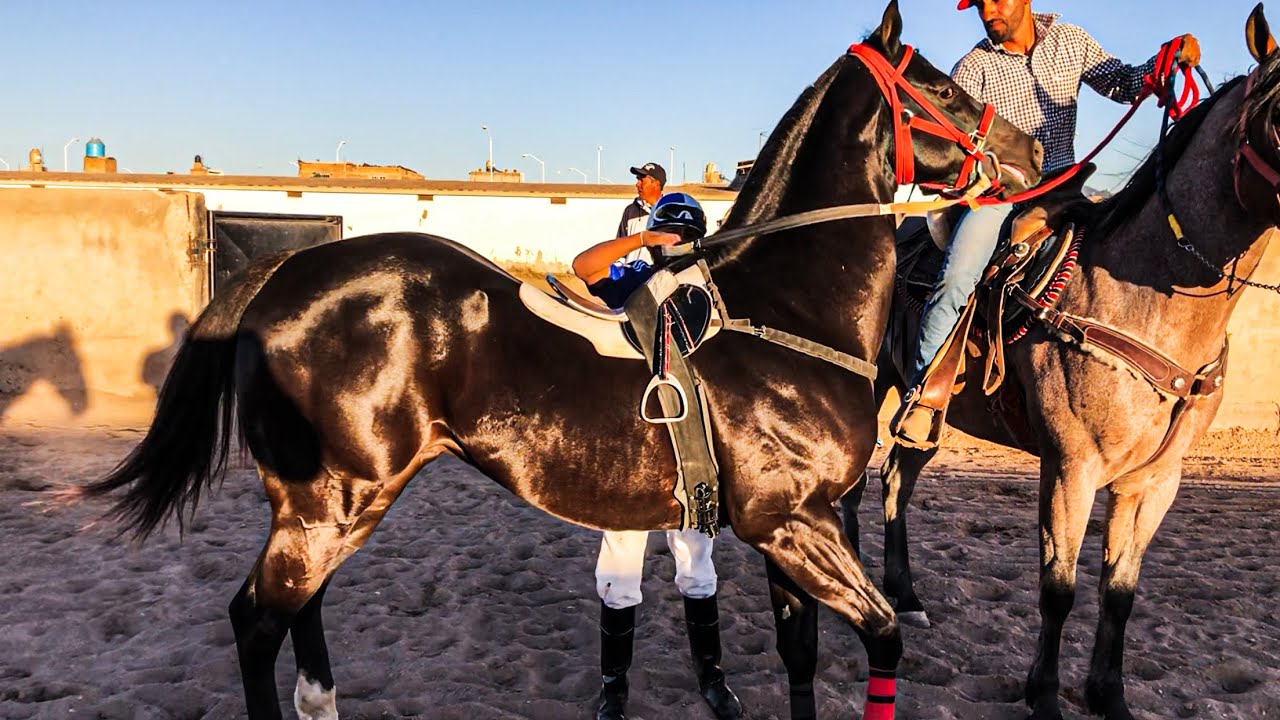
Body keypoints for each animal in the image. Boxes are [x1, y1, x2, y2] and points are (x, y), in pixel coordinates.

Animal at [78, 2, 1042, 718]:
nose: (1031, 151)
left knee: (297, 614)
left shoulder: (793, 533)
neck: (782, 308)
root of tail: (287, 272)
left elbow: (800, 658)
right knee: (254, 621)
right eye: (942, 86)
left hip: (326, 508)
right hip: (330, 503)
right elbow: (885, 637)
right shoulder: (791, 524)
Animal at [841, 5, 1280, 719]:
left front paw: (1109, 694)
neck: (1141, 297)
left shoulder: (1155, 481)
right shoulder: (1072, 467)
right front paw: (1045, 696)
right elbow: (1059, 588)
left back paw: (904, 596)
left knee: (894, 480)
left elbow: (1119, 593)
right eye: (1279, 113)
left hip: (928, 419)